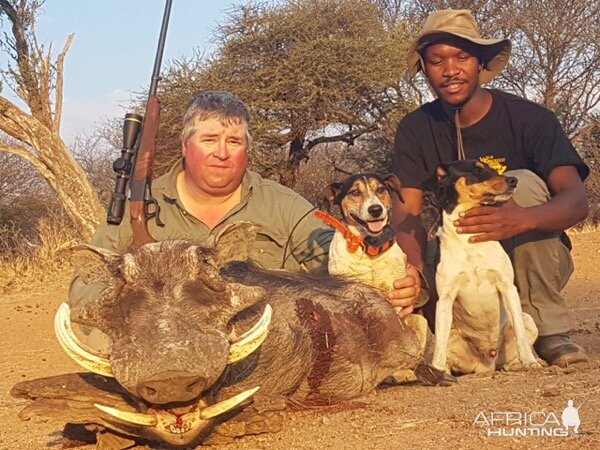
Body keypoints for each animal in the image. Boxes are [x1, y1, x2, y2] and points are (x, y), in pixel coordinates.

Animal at [420, 159, 540, 380]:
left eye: (493, 169)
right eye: (477, 170)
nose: (513, 180)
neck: (469, 243)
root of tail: (487, 364)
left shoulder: (507, 287)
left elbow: (520, 333)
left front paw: (530, 362)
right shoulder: (445, 298)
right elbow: (440, 346)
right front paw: (437, 371)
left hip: (527, 321)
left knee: (513, 351)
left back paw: (520, 365)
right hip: (452, 334)